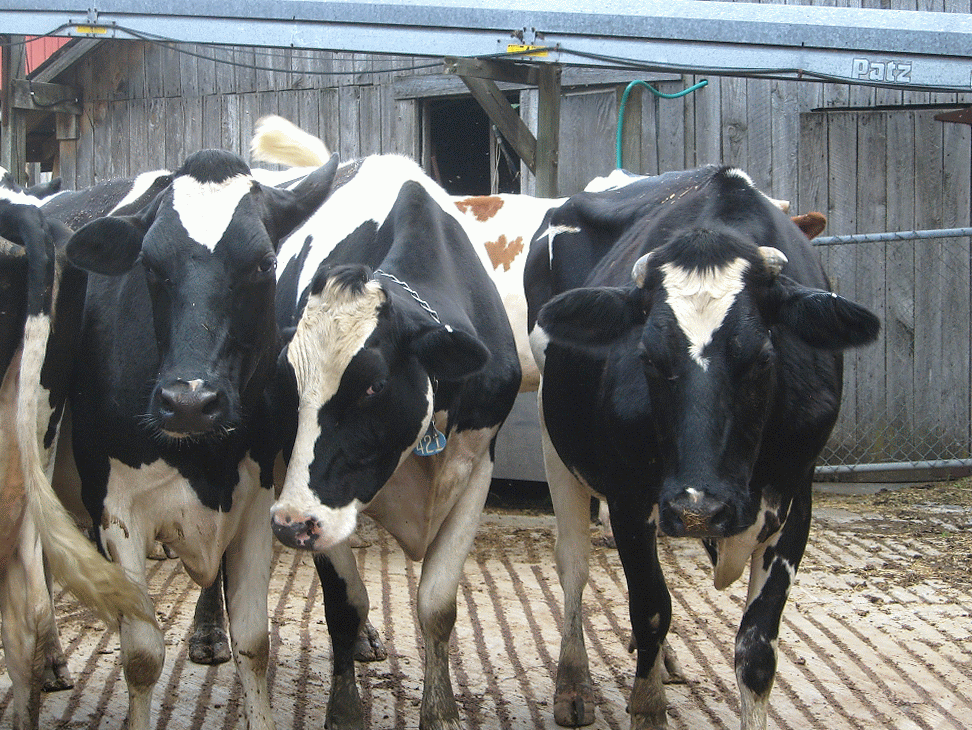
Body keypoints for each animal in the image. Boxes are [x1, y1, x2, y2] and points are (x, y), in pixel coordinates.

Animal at [55, 149, 337, 730]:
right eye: (150, 266)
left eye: (264, 264)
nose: (188, 401)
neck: (208, 457)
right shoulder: (117, 510)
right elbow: (142, 656)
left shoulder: (255, 502)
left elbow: (254, 643)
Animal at [257, 149, 521, 730]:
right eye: (286, 383)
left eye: (374, 384)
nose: (288, 524)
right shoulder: (316, 501)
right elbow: (343, 604)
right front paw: (344, 709)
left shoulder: (478, 468)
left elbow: (437, 604)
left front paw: (440, 711)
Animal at [524, 165, 880, 730]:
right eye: (647, 357)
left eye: (762, 358)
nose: (700, 509)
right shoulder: (630, 498)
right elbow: (650, 609)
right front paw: (647, 706)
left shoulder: (795, 499)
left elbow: (756, 649)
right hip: (554, 439)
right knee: (574, 564)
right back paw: (573, 683)